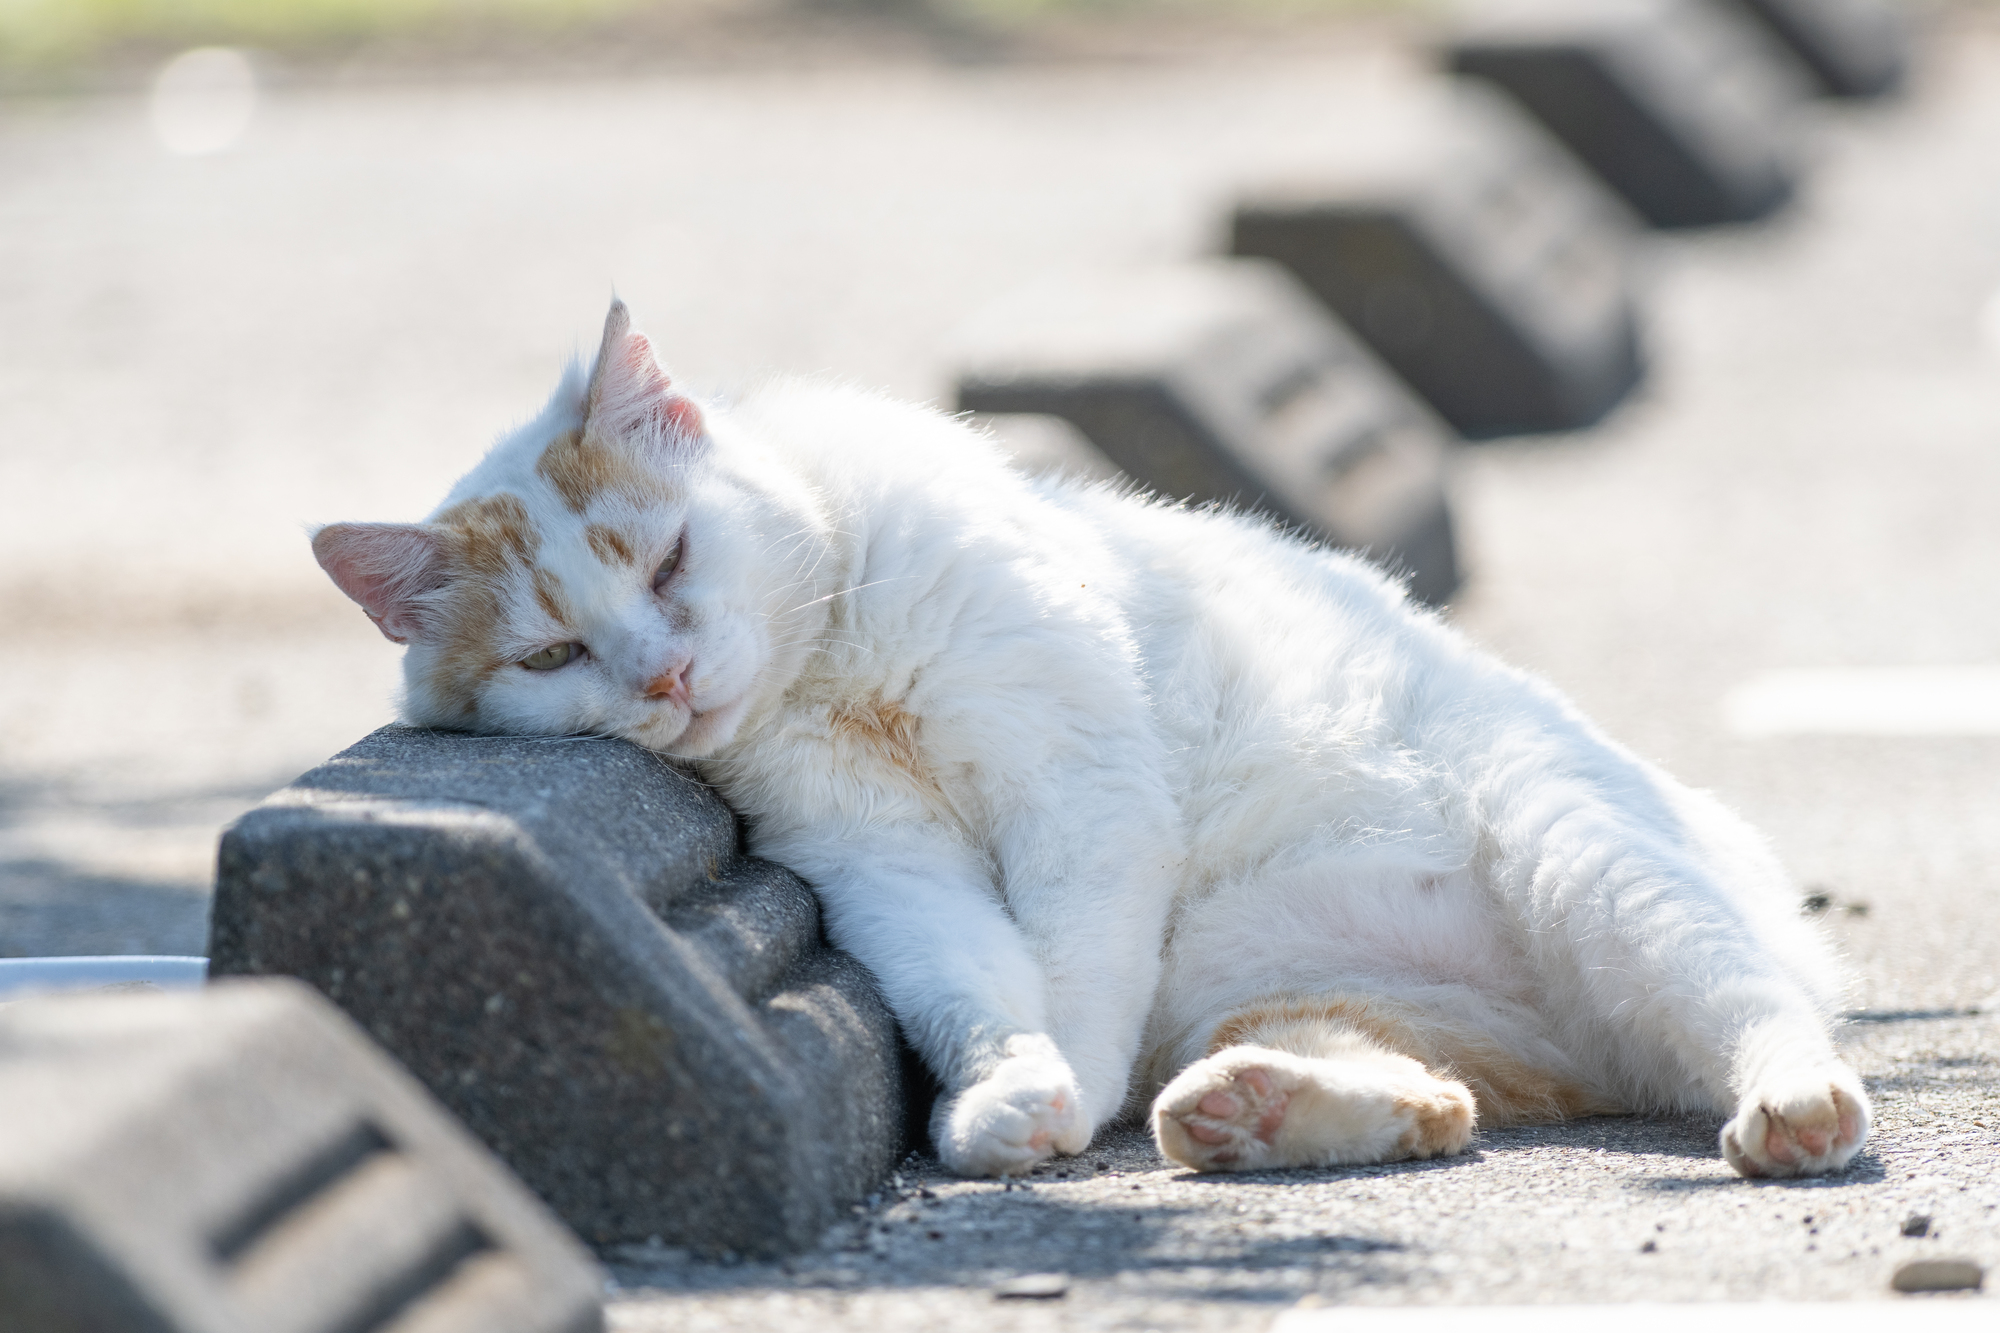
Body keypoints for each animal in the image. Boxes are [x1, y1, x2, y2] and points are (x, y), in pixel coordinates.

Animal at [316, 298, 1872, 1176]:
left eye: (669, 560)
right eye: (554, 655)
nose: (671, 675)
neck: (832, 668)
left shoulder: (1076, 779)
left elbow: (1069, 955)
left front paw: (1059, 1070)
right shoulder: (872, 852)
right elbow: (959, 974)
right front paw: (1009, 1093)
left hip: (1588, 853)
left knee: (1743, 1004)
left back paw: (1793, 1101)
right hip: (1305, 992)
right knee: (1438, 1098)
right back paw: (1257, 1112)